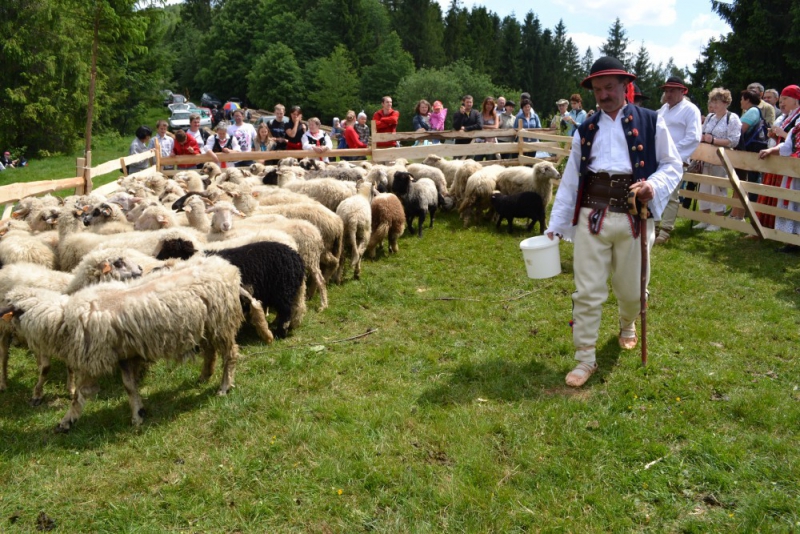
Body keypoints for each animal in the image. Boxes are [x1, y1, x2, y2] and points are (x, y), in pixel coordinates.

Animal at [1, 255, 247, 432]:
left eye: (15, 311)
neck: (62, 318)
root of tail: (229, 267)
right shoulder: (125, 354)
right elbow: (129, 387)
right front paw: (138, 414)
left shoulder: (94, 361)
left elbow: (80, 395)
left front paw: (66, 421)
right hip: (205, 325)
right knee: (210, 350)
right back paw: (204, 375)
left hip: (222, 321)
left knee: (230, 354)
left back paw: (224, 386)